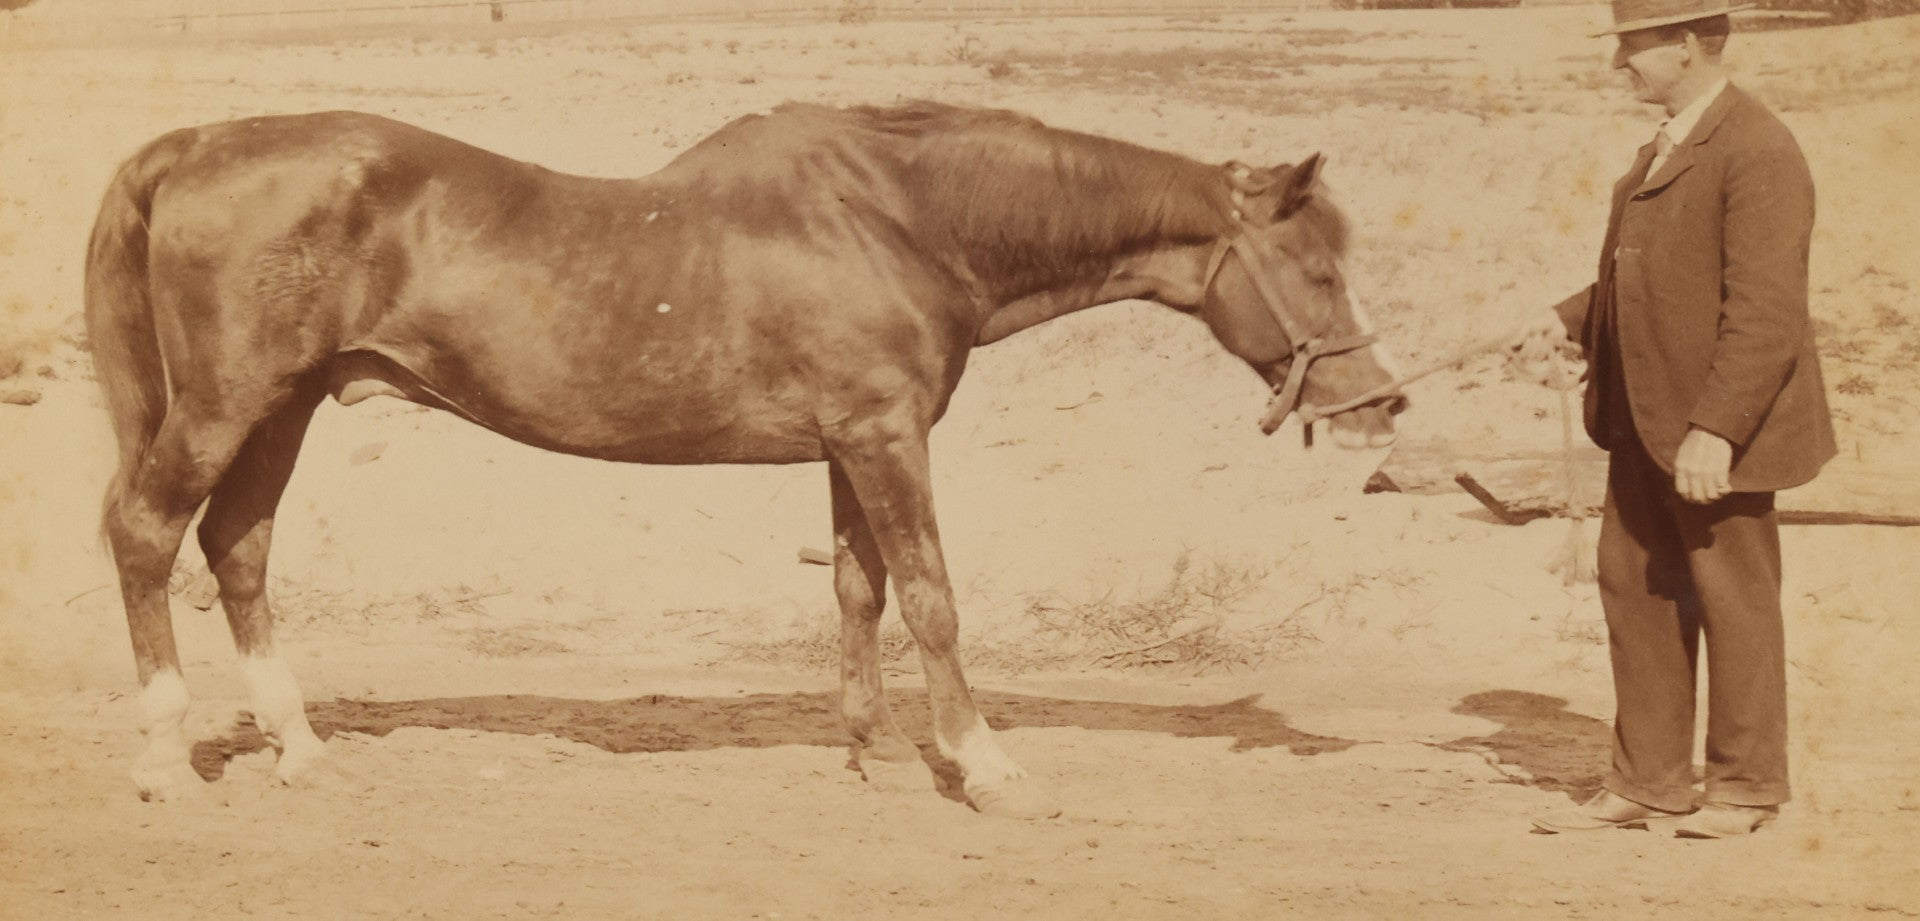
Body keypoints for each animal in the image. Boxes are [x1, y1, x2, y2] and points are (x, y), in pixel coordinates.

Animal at [85, 100, 1405, 818]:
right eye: (1317, 269)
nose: (1380, 407)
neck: (901, 218)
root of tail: (189, 148)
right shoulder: (884, 436)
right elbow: (931, 597)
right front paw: (984, 767)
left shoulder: (851, 443)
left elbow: (861, 592)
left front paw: (873, 756)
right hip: (230, 404)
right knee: (148, 534)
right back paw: (158, 758)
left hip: (287, 407)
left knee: (237, 549)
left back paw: (299, 751)